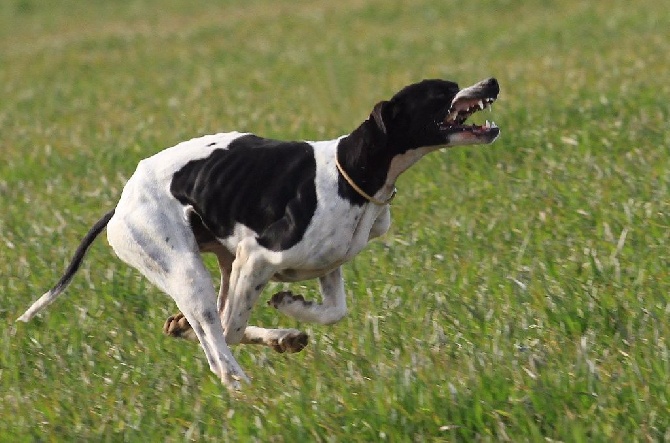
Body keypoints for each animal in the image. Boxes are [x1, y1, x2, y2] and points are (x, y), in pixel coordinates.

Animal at [15, 78, 502, 390]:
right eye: (440, 91)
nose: (491, 83)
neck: (351, 172)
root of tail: (120, 203)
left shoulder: (325, 265)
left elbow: (333, 311)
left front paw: (291, 308)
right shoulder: (258, 255)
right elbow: (229, 328)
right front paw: (280, 316)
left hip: (222, 265)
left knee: (214, 323)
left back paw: (269, 337)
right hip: (186, 270)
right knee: (217, 338)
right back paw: (238, 381)